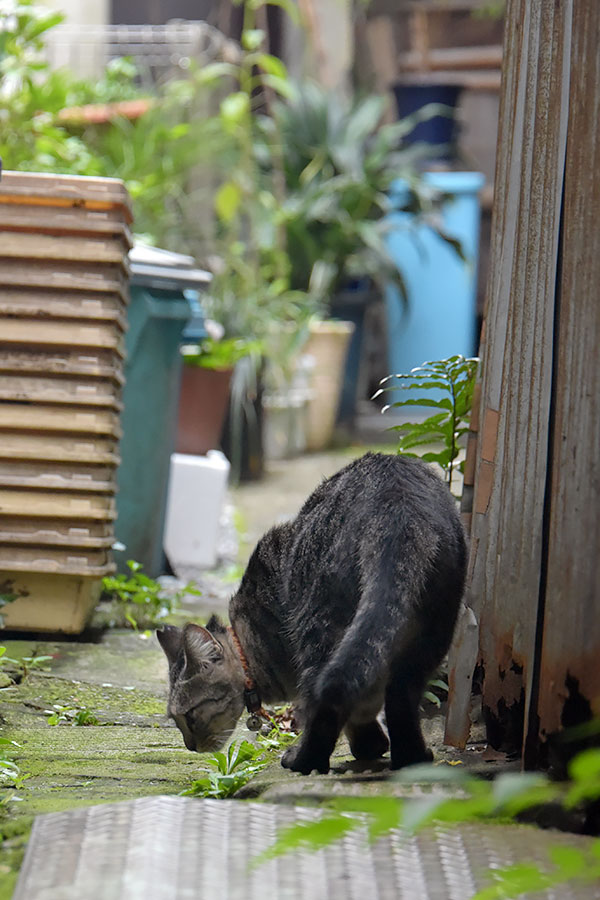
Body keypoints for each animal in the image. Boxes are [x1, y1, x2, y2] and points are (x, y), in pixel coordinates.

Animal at [157, 454, 466, 776]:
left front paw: (367, 744)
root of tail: (396, 506)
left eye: (189, 715)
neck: (249, 645)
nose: (190, 746)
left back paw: (304, 759)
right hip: (430, 633)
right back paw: (412, 758)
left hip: (319, 624)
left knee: (328, 693)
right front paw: (372, 744)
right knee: (399, 698)